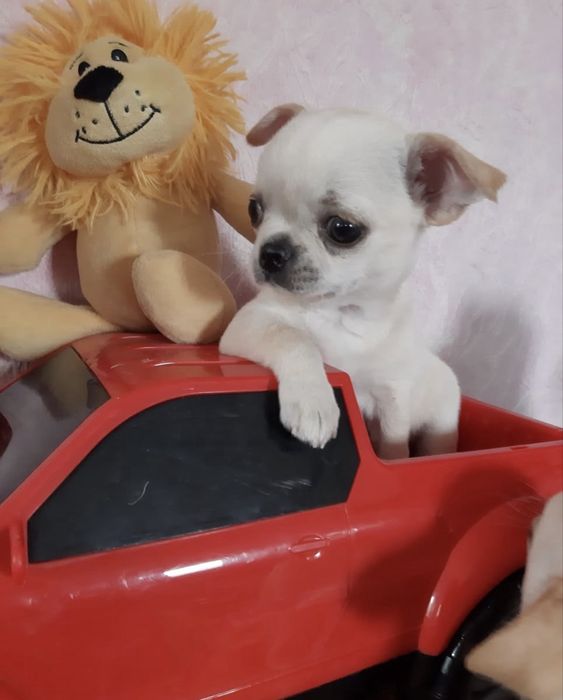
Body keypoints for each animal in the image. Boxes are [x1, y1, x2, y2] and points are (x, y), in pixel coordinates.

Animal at [220, 105, 506, 457]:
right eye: (254, 209)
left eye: (343, 229)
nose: (270, 252)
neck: (343, 312)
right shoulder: (250, 323)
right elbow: (294, 336)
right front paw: (314, 402)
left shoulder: (393, 398)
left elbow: (395, 448)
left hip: (441, 421)